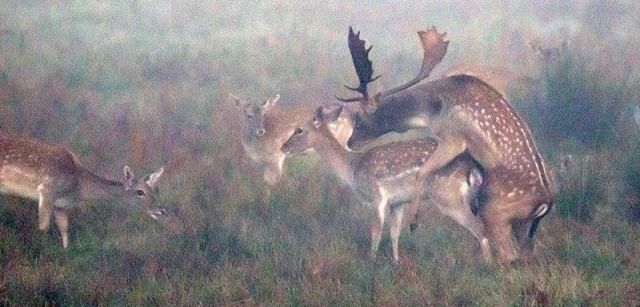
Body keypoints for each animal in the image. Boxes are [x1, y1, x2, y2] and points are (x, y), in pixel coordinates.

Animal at [0, 136, 168, 249]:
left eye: (154, 189)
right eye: (140, 192)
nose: (161, 210)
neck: (78, 187)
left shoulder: (60, 205)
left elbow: (64, 230)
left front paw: (65, 253)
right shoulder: (47, 191)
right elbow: (43, 227)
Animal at [280, 107, 490, 264]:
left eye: (299, 129)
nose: (283, 147)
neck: (353, 168)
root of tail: (472, 168)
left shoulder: (377, 195)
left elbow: (376, 231)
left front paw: (371, 261)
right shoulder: (398, 201)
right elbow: (394, 232)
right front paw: (396, 261)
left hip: (447, 195)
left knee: (479, 227)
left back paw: (488, 265)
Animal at [340, 27, 556, 266]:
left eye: (359, 118)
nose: (350, 142)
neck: (430, 112)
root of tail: (545, 203)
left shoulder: (453, 136)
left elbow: (424, 170)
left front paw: (413, 221)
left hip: (495, 210)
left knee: (508, 251)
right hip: (524, 225)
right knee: (527, 252)